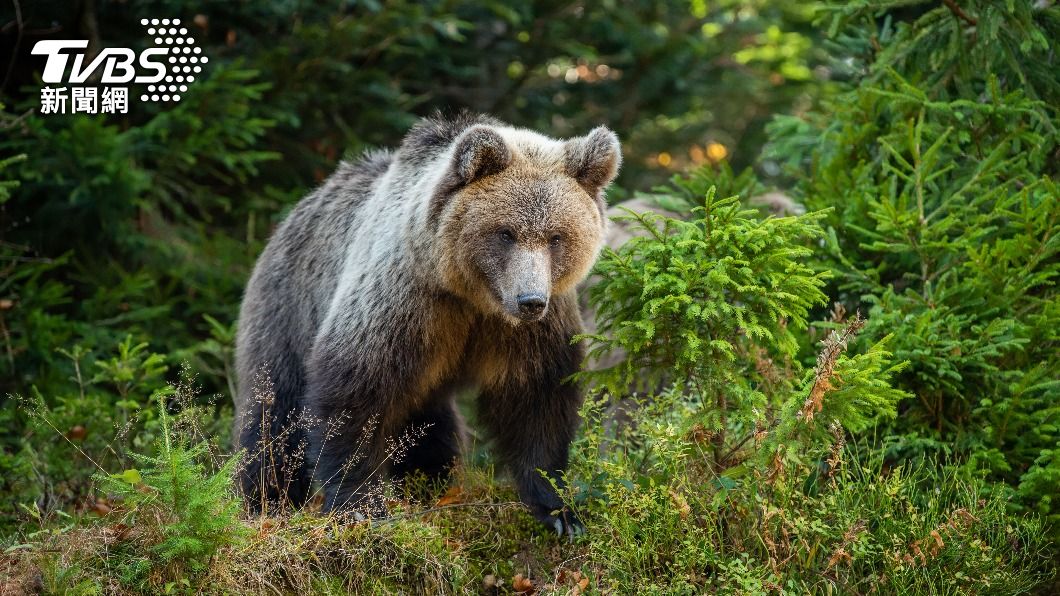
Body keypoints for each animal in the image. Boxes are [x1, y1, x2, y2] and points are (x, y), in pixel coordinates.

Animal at [233, 112, 620, 536]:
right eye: (505, 233)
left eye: (556, 237)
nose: (530, 300)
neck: (473, 296)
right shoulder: (407, 302)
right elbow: (354, 393)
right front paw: (359, 507)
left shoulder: (530, 330)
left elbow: (536, 400)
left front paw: (559, 511)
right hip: (288, 306)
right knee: (274, 411)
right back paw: (266, 498)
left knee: (430, 427)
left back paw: (430, 480)